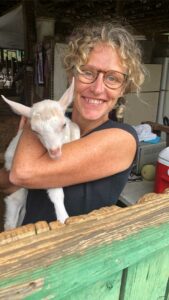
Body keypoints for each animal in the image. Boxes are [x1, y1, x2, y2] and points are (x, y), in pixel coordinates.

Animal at [1, 78, 80, 231]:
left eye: (63, 125)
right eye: (35, 131)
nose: (54, 152)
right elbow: (55, 192)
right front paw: (63, 217)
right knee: (13, 206)